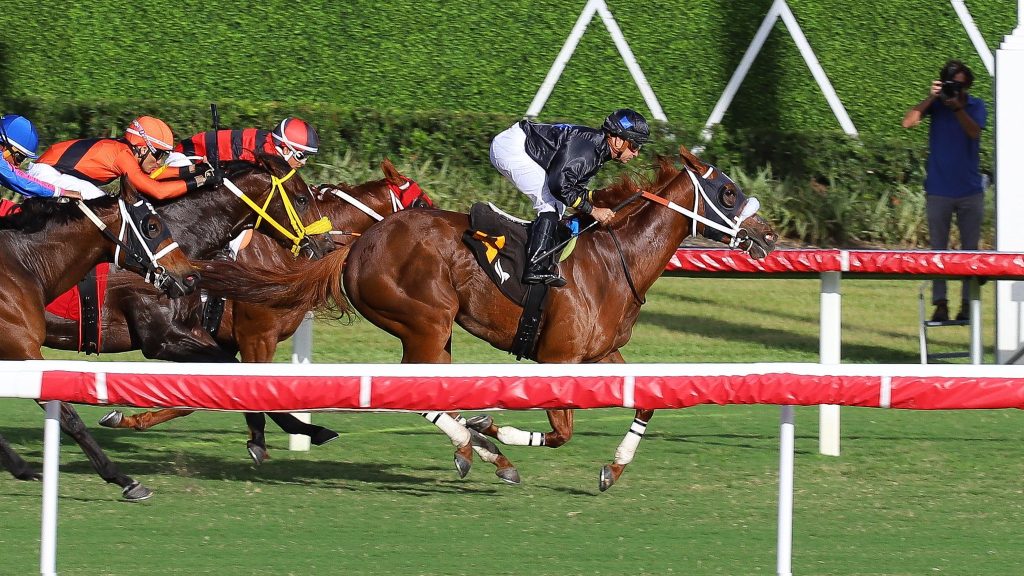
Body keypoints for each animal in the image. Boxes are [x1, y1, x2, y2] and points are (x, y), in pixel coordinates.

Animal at [0, 185, 198, 500]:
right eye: (152, 226)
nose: (190, 277)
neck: (22, 265)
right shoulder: (21, 350)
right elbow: (70, 417)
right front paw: (123, 478)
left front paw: (21, 467)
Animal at [85, 160, 432, 462]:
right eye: (423, 204)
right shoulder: (255, 337)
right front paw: (264, 440)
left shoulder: (220, 341)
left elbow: (201, 398)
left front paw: (130, 419)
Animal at [338, 146, 777, 490]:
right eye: (728, 193)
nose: (771, 236)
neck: (616, 260)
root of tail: (358, 245)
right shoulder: (558, 357)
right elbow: (562, 432)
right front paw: (495, 429)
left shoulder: (600, 355)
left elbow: (645, 406)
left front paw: (614, 468)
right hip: (425, 325)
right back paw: (478, 449)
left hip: (436, 334)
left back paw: (482, 451)